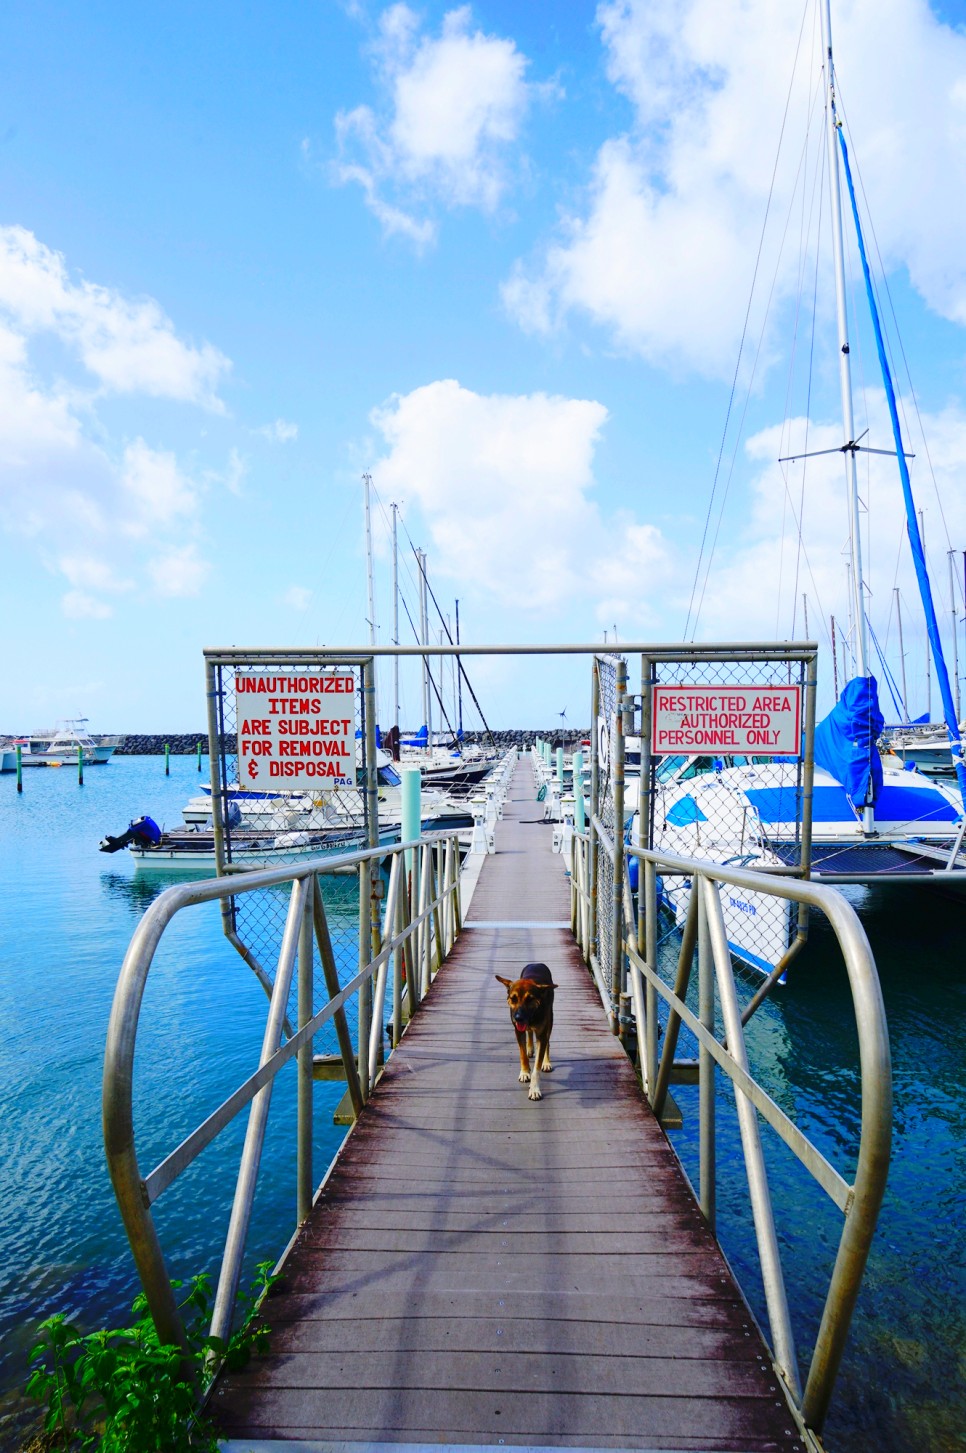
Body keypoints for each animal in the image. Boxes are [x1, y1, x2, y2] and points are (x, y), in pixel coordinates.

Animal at [493, 964, 554, 1098]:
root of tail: (537, 964)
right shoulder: (518, 1031)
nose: (518, 1018)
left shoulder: (541, 1034)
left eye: (530, 999)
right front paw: (525, 1072)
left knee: (547, 1041)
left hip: (550, 1020)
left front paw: (534, 1089)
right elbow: (522, 1054)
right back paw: (530, 1049)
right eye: (513, 999)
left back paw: (546, 1062)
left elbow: (537, 1067)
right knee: (529, 1032)